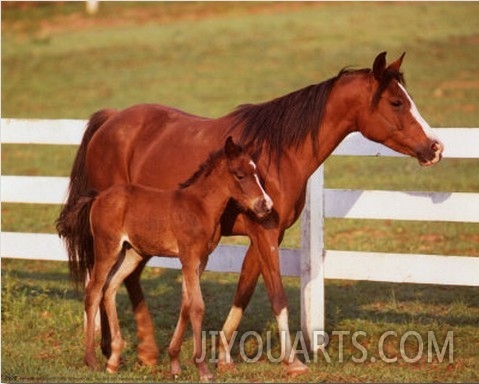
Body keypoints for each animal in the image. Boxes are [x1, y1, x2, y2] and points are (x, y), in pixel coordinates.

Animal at [58, 51, 444, 376]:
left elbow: (244, 290)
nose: (435, 147)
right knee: (103, 282)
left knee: (124, 280)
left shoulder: (269, 233)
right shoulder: (264, 232)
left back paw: (142, 351)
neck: (277, 154)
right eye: (396, 102)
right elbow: (277, 294)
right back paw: (110, 349)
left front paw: (224, 355)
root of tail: (110, 121)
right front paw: (292, 361)